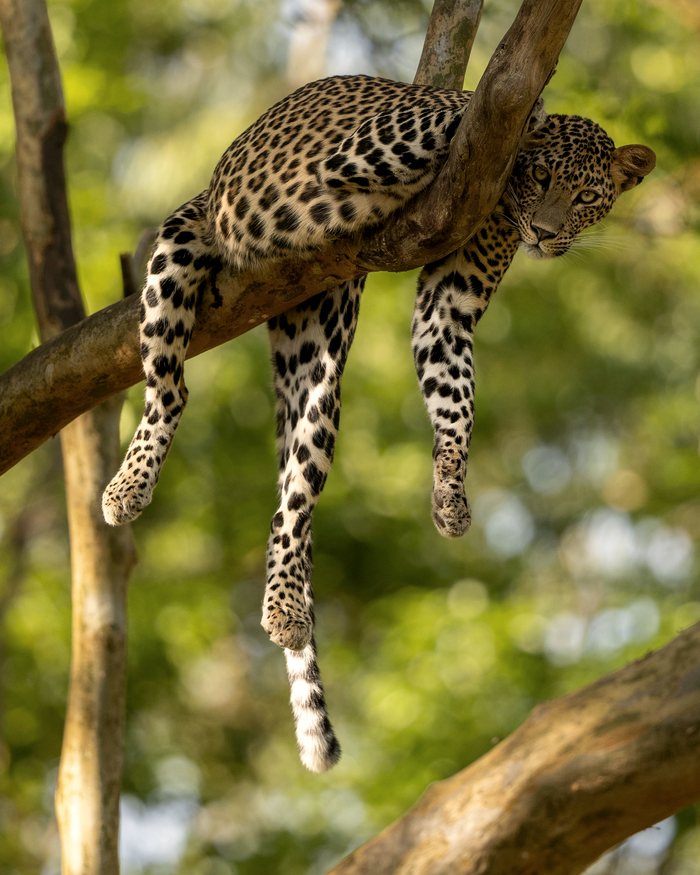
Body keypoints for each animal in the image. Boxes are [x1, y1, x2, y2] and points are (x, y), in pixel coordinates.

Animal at [101, 74, 655, 772]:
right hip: (181, 244)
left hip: (318, 359)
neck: (496, 196)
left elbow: (456, 400)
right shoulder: (373, 146)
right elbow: (476, 105)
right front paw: (530, 104)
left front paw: (450, 495)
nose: (545, 233)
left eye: (584, 198)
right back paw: (128, 488)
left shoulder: (450, 302)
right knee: (168, 389)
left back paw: (286, 605)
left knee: (295, 495)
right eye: (539, 175)